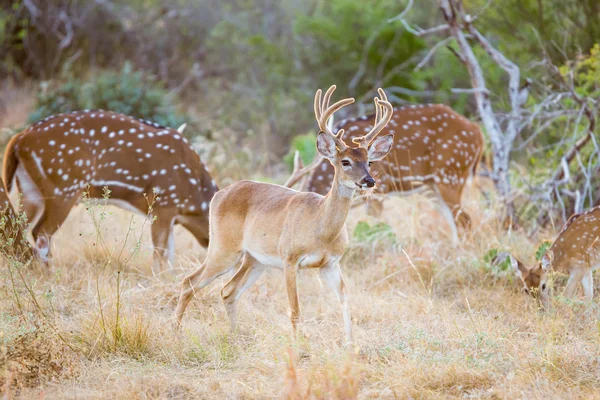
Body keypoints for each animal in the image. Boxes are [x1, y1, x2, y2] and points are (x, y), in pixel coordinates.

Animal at [2, 111, 218, 270]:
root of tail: (19, 139)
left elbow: (169, 255)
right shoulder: (163, 203)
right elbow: (160, 256)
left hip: (30, 190)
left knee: (18, 226)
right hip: (63, 187)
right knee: (41, 233)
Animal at [176, 86, 396, 342]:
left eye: (369, 162)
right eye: (345, 162)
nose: (369, 181)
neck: (319, 228)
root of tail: (218, 195)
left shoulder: (331, 264)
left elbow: (345, 302)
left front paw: (350, 344)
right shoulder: (289, 258)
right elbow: (295, 310)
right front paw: (299, 346)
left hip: (255, 259)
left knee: (228, 290)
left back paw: (234, 335)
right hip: (224, 247)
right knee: (189, 282)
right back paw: (175, 330)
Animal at [298, 101, 486, 242]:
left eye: (370, 163)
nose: (369, 180)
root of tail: (478, 132)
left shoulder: (381, 188)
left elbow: (375, 227)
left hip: (450, 173)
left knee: (465, 220)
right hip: (431, 187)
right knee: (455, 222)